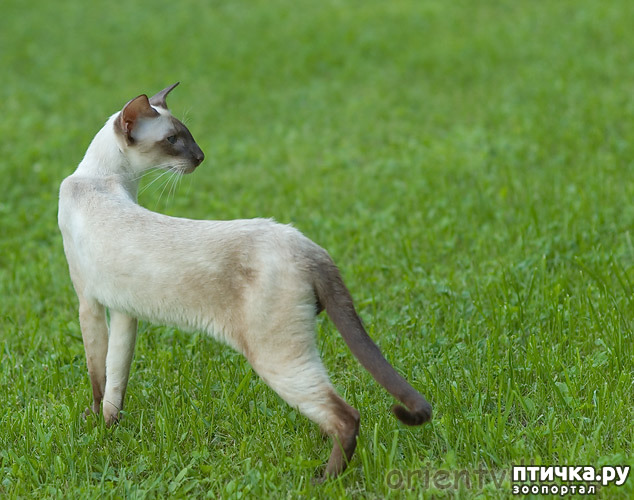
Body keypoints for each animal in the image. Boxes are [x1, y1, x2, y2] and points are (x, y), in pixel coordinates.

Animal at [58, 84, 430, 478]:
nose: (201, 157)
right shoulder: (123, 310)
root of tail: (305, 244)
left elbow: (97, 378)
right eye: (174, 139)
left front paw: (94, 425)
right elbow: (115, 381)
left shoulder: (88, 304)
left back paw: (323, 479)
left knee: (346, 416)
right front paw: (108, 427)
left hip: (276, 358)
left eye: (185, 136)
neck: (106, 181)